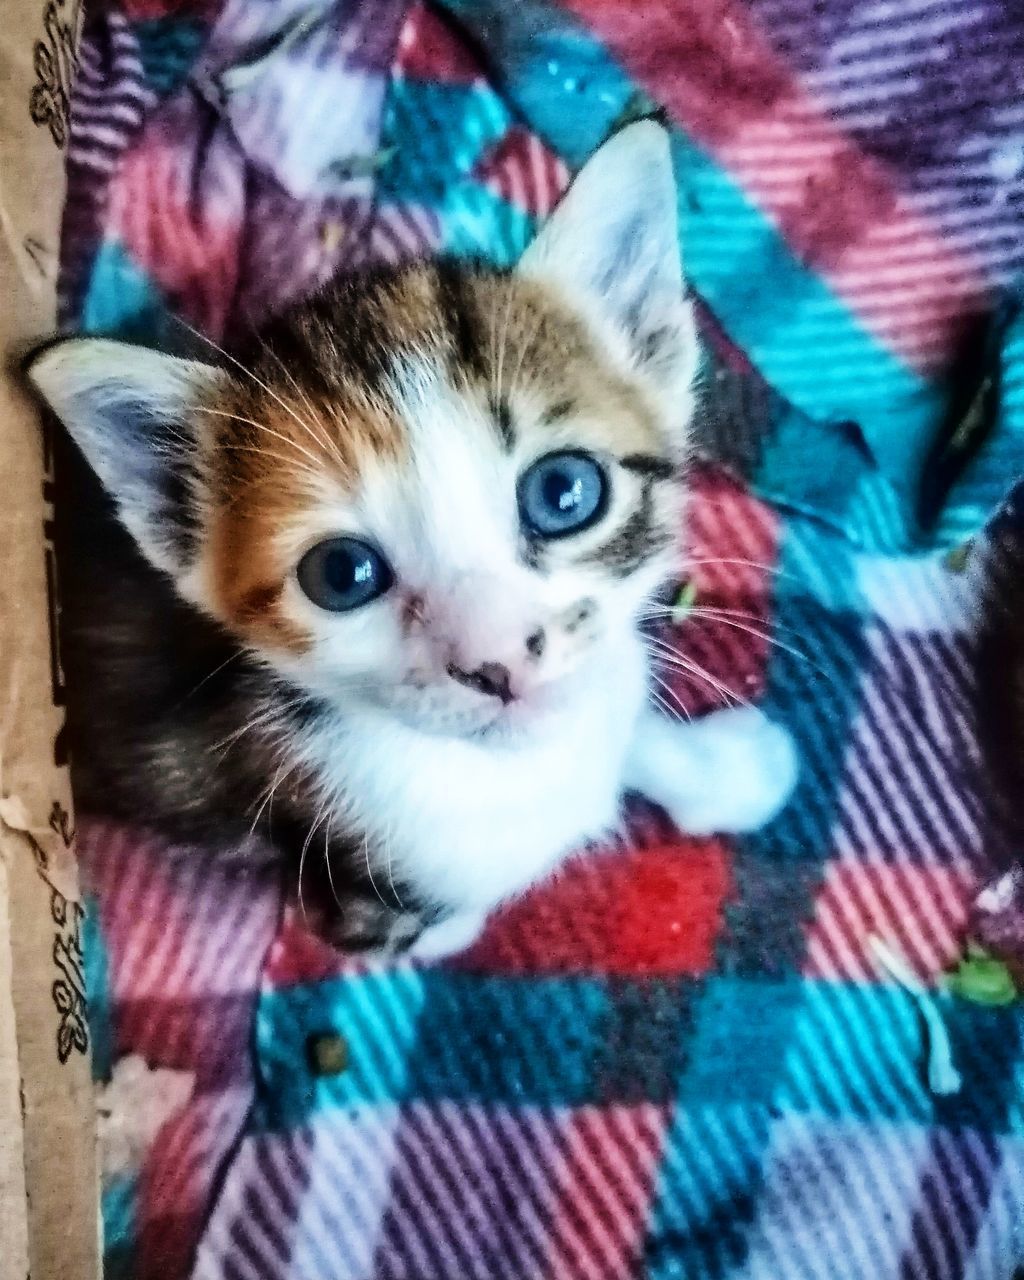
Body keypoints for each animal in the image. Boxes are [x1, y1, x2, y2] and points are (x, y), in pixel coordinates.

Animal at [24, 122, 793, 962]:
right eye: (341, 573)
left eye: (563, 492)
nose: (497, 663)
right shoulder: (357, 890)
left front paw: (722, 769)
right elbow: (434, 918)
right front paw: (457, 927)